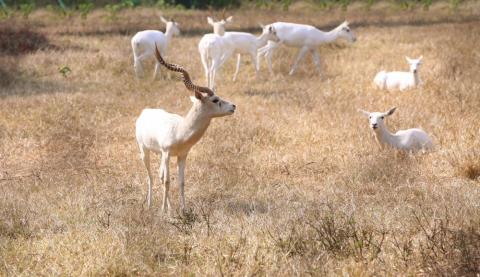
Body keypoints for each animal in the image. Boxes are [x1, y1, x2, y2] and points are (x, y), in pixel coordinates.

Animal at [135, 44, 236, 213]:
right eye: (215, 100)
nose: (233, 106)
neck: (180, 130)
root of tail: (144, 112)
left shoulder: (182, 155)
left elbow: (181, 182)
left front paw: (183, 210)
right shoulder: (167, 153)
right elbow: (167, 181)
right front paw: (163, 211)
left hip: (160, 155)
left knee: (159, 175)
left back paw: (169, 207)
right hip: (145, 151)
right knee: (151, 176)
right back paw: (150, 205)